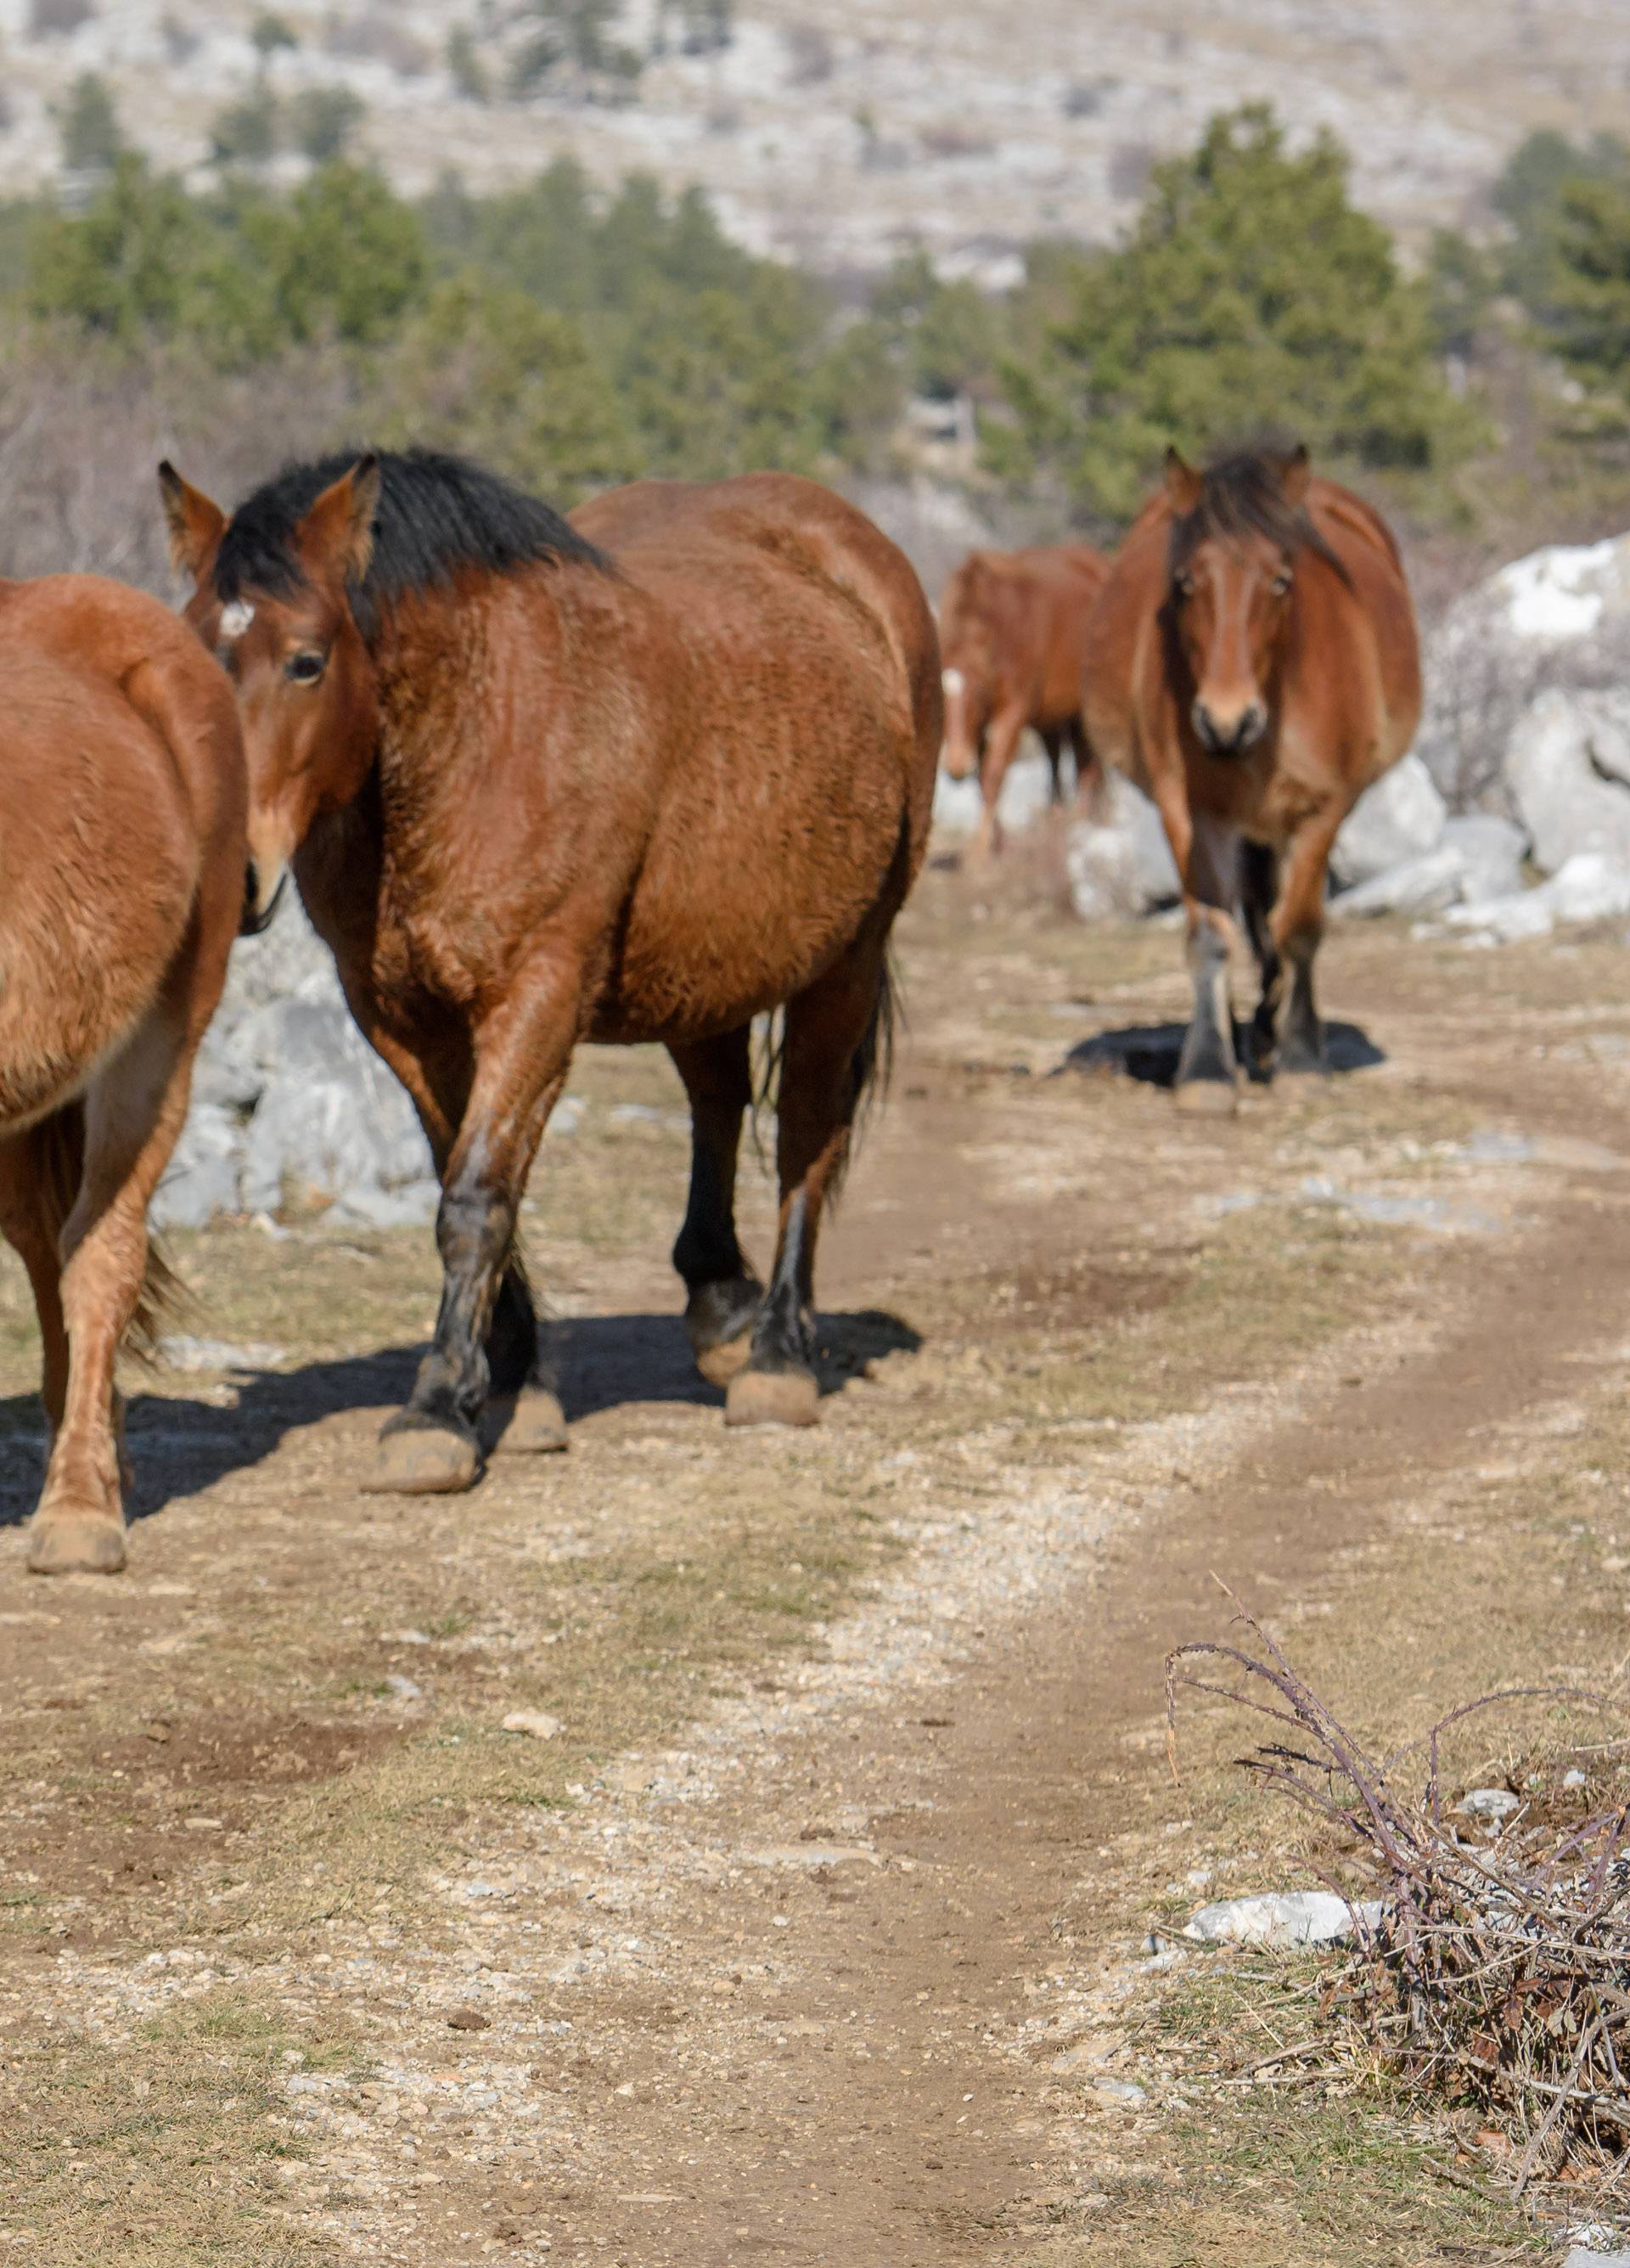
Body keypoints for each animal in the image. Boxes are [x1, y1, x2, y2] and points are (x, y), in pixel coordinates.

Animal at [161, 451, 942, 1496]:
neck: (477, 736)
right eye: (195, 653)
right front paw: (515, 1383)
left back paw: (778, 1354)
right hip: (706, 965)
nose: (233, 874)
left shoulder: (536, 996)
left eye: (307, 660)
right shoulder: (403, 1020)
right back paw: (719, 1306)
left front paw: (435, 1410)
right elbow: (467, 1179)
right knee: (720, 1100)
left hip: (845, 961)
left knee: (807, 1132)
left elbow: (476, 1199)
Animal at [938, 542, 1115, 857]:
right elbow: (983, 776)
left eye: (978, 692)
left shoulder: (1013, 711)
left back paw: (1081, 817)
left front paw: (983, 846)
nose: (957, 766)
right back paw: (1059, 813)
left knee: (1087, 761)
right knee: (1059, 756)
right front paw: (996, 838)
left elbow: (994, 772)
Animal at [1088, 442, 1423, 1106]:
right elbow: (1212, 934)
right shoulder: (1190, 811)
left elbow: (1299, 930)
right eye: (1185, 581)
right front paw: (1206, 1070)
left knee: (1278, 921)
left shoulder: (1322, 810)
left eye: (1281, 580)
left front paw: (1301, 1058)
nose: (1226, 722)